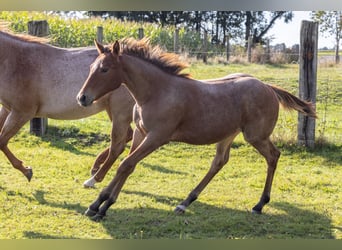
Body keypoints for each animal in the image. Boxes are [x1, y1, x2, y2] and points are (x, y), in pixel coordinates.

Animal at [0, 28, 136, 186]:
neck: (15, 61)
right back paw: (95, 167)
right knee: (127, 136)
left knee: (119, 145)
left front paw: (27, 171)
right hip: (113, 111)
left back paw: (94, 177)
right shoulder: (7, 109)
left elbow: (2, 141)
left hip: (119, 112)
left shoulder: (22, 112)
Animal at [77, 37, 318, 221]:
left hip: (255, 136)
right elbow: (128, 165)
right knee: (219, 162)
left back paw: (259, 204)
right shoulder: (140, 133)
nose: (82, 98)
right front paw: (103, 205)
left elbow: (125, 164)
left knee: (273, 156)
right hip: (228, 134)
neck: (157, 92)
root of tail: (268, 87)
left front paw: (99, 204)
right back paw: (185, 202)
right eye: (90, 68)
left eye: (105, 69)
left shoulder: (157, 137)